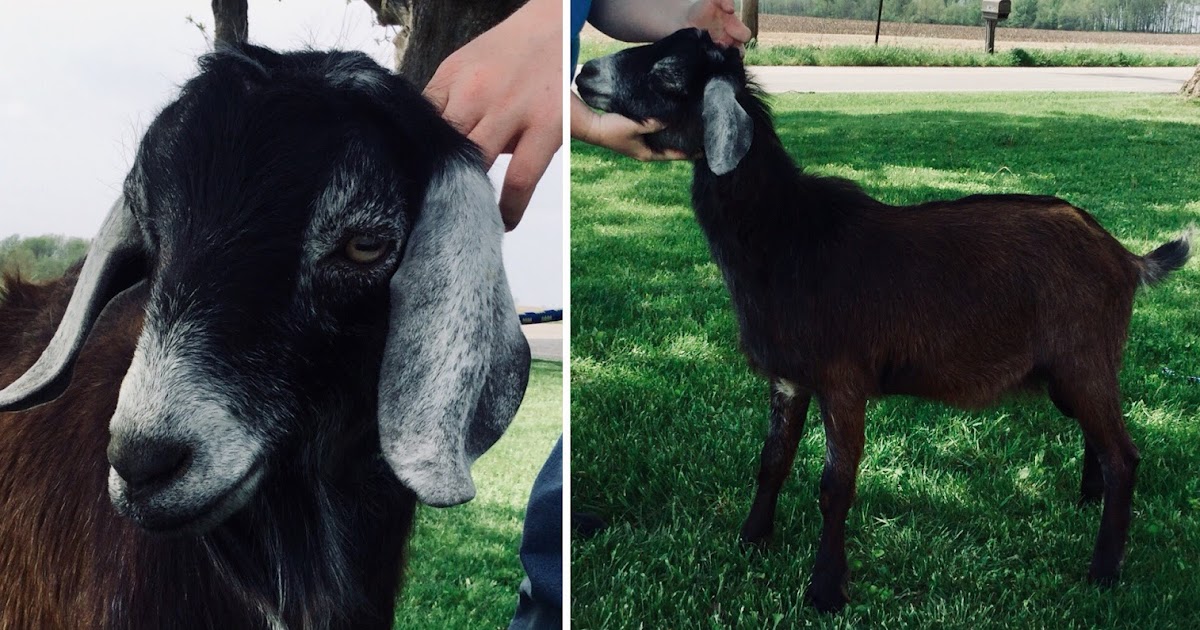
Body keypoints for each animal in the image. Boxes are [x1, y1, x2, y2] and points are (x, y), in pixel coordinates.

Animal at [575, 28, 1192, 613]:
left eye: (668, 74)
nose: (584, 72)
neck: (786, 235)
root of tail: (1124, 257)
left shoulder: (844, 381)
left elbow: (835, 487)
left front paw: (825, 589)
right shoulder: (790, 377)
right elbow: (772, 463)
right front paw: (751, 540)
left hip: (1084, 358)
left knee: (1125, 457)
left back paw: (1103, 571)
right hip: (1072, 371)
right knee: (1099, 440)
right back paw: (1087, 502)